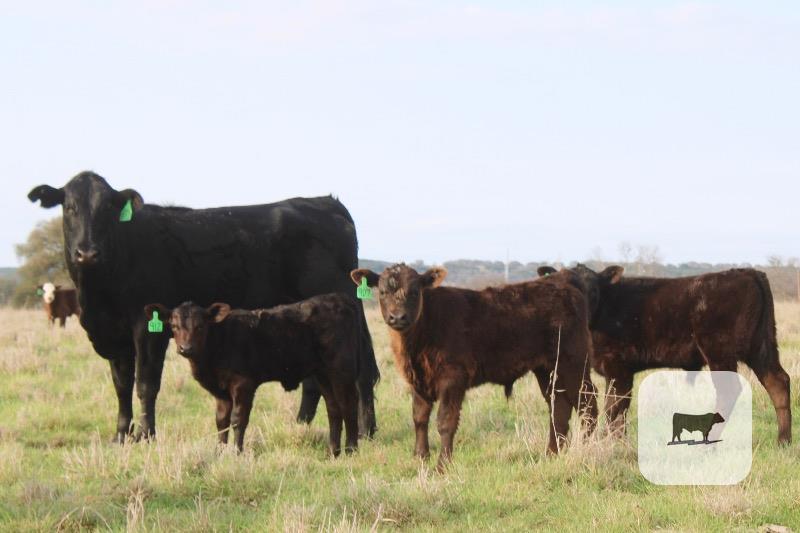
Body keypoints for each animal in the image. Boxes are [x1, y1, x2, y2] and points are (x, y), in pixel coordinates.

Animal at [144, 296, 361, 455]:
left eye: (200, 326)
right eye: (174, 326)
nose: (186, 348)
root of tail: (338, 300)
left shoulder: (243, 384)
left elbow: (238, 419)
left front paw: (237, 452)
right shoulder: (221, 392)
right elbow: (221, 420)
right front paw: (219, 451)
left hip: (341, 370)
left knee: (349, 405)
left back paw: (351, 450)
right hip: (323, 374)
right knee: (333, 408)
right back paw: (333, 451)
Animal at [351, 264, 598, 470]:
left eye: (414, 292)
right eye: (383, 292)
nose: (398, 317)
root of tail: (561, 279)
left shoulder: (452, 379)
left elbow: (445, 422)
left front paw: (442, 465)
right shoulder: (418, 382)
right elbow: (419, 418)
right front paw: (420, 457)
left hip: (573, 362)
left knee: (588, 402)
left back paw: (588, 448)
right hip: (547, 369)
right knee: (558, 406)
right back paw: (552, 454)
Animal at [537, 264, 791, 444]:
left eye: (594, 289)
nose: (582, 308)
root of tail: (748, 271)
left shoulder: (618, 367)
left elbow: (614, 409)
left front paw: (610, 443)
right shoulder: (615, 371)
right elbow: (618, 410)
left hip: (720, 351)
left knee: (729, 391)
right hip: (761, 346)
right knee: (777, 381)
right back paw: (783, 441)